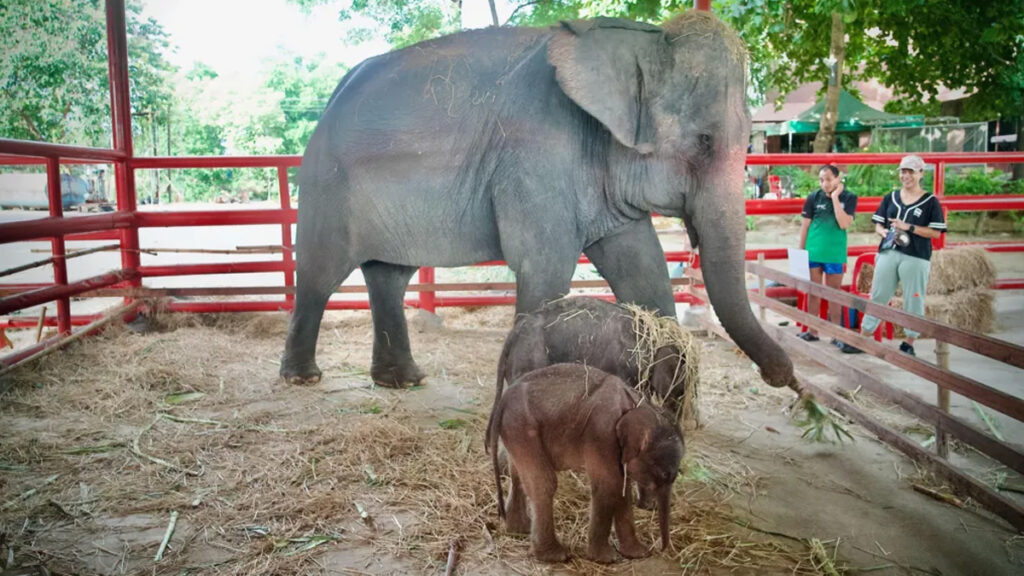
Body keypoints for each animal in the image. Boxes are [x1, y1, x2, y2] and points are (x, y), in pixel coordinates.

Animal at [282, 11, 798, 389]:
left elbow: (643, 266)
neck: (639, 37)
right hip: (327, 186)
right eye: (704, 142)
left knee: (388, 276)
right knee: (321, 275)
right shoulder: (536, 155)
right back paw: (303, 378)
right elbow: (545, 267)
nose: (786, 380)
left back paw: (403, 381)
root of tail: (334, 94)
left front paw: (665, 401)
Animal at [485, 362, 684, 561]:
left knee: (517, 474)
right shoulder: (602, 431)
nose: (659, 549)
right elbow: (609, 484)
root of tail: (502, 401)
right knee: (544, 483)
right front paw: (607, 559)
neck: (637, 403)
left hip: (514, 429)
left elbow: (623, 488)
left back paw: (519, 531)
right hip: (522, 426)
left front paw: (638, 553)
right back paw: (556, 555)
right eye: (664, 474)